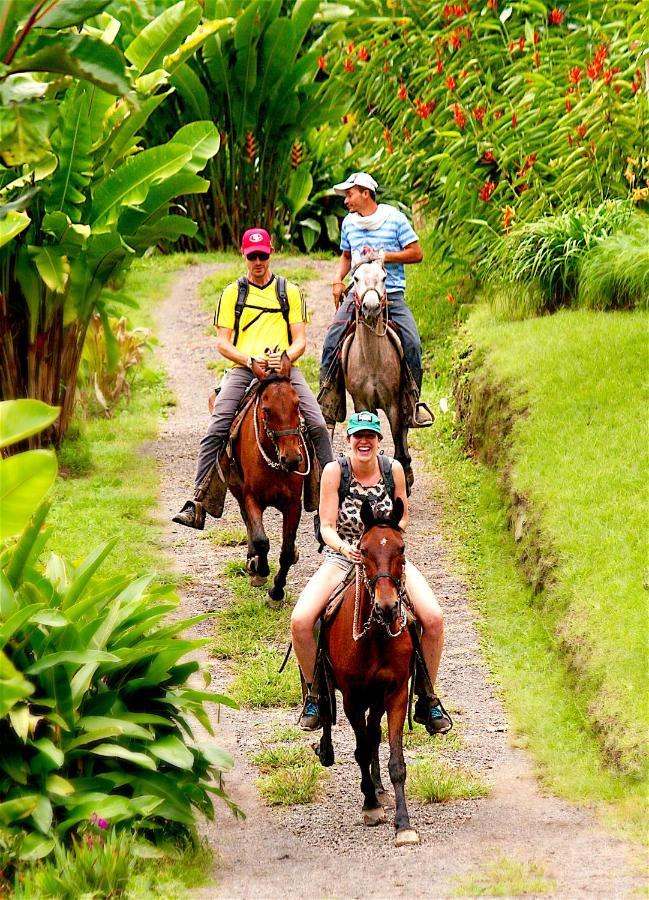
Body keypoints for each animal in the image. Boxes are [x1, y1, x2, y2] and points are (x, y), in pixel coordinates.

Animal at [228, 352, 308, 604]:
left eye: (298, 404)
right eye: (266, 409)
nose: (292, 459)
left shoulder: (293, 504)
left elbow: (287, 551)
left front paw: (277, 592)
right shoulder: (251, 498)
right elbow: (262, 540)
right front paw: (261, 571)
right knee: (248, 523)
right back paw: (252, 562)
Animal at [316, 496, 418, 848]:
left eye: (401, 548)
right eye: (363, 550)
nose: (388, 607)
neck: (375, 638)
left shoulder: (396, 692)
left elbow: (395, 760)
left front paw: (403, 824)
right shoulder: (352, 698)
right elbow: (360, 749)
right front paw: (370, 806)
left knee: (374, 733)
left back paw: (379, 787)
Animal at [336, 251, 412, 492]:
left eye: (384, 278)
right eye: (356, 278)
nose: (370, 307)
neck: (371, 361)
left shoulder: (394, 403)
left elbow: (397, 437)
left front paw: (403, 477)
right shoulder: (362, 402)